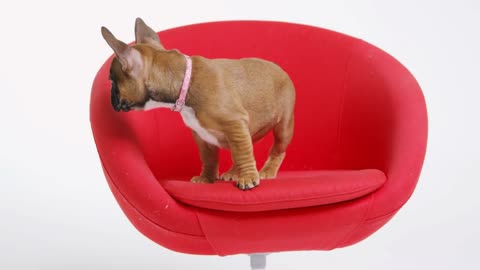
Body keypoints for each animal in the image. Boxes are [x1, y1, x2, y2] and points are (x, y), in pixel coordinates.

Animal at [101, 17, 294, 190]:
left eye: (112, 82)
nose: (110, 98)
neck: (185, 82)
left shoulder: (234, 124)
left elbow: (242, 153)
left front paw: (247, 177)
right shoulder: (202, 135)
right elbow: (210, 158)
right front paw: (206, 179)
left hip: (283, 126)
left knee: (276, 149)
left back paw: (266, 171)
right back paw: (234, 172)